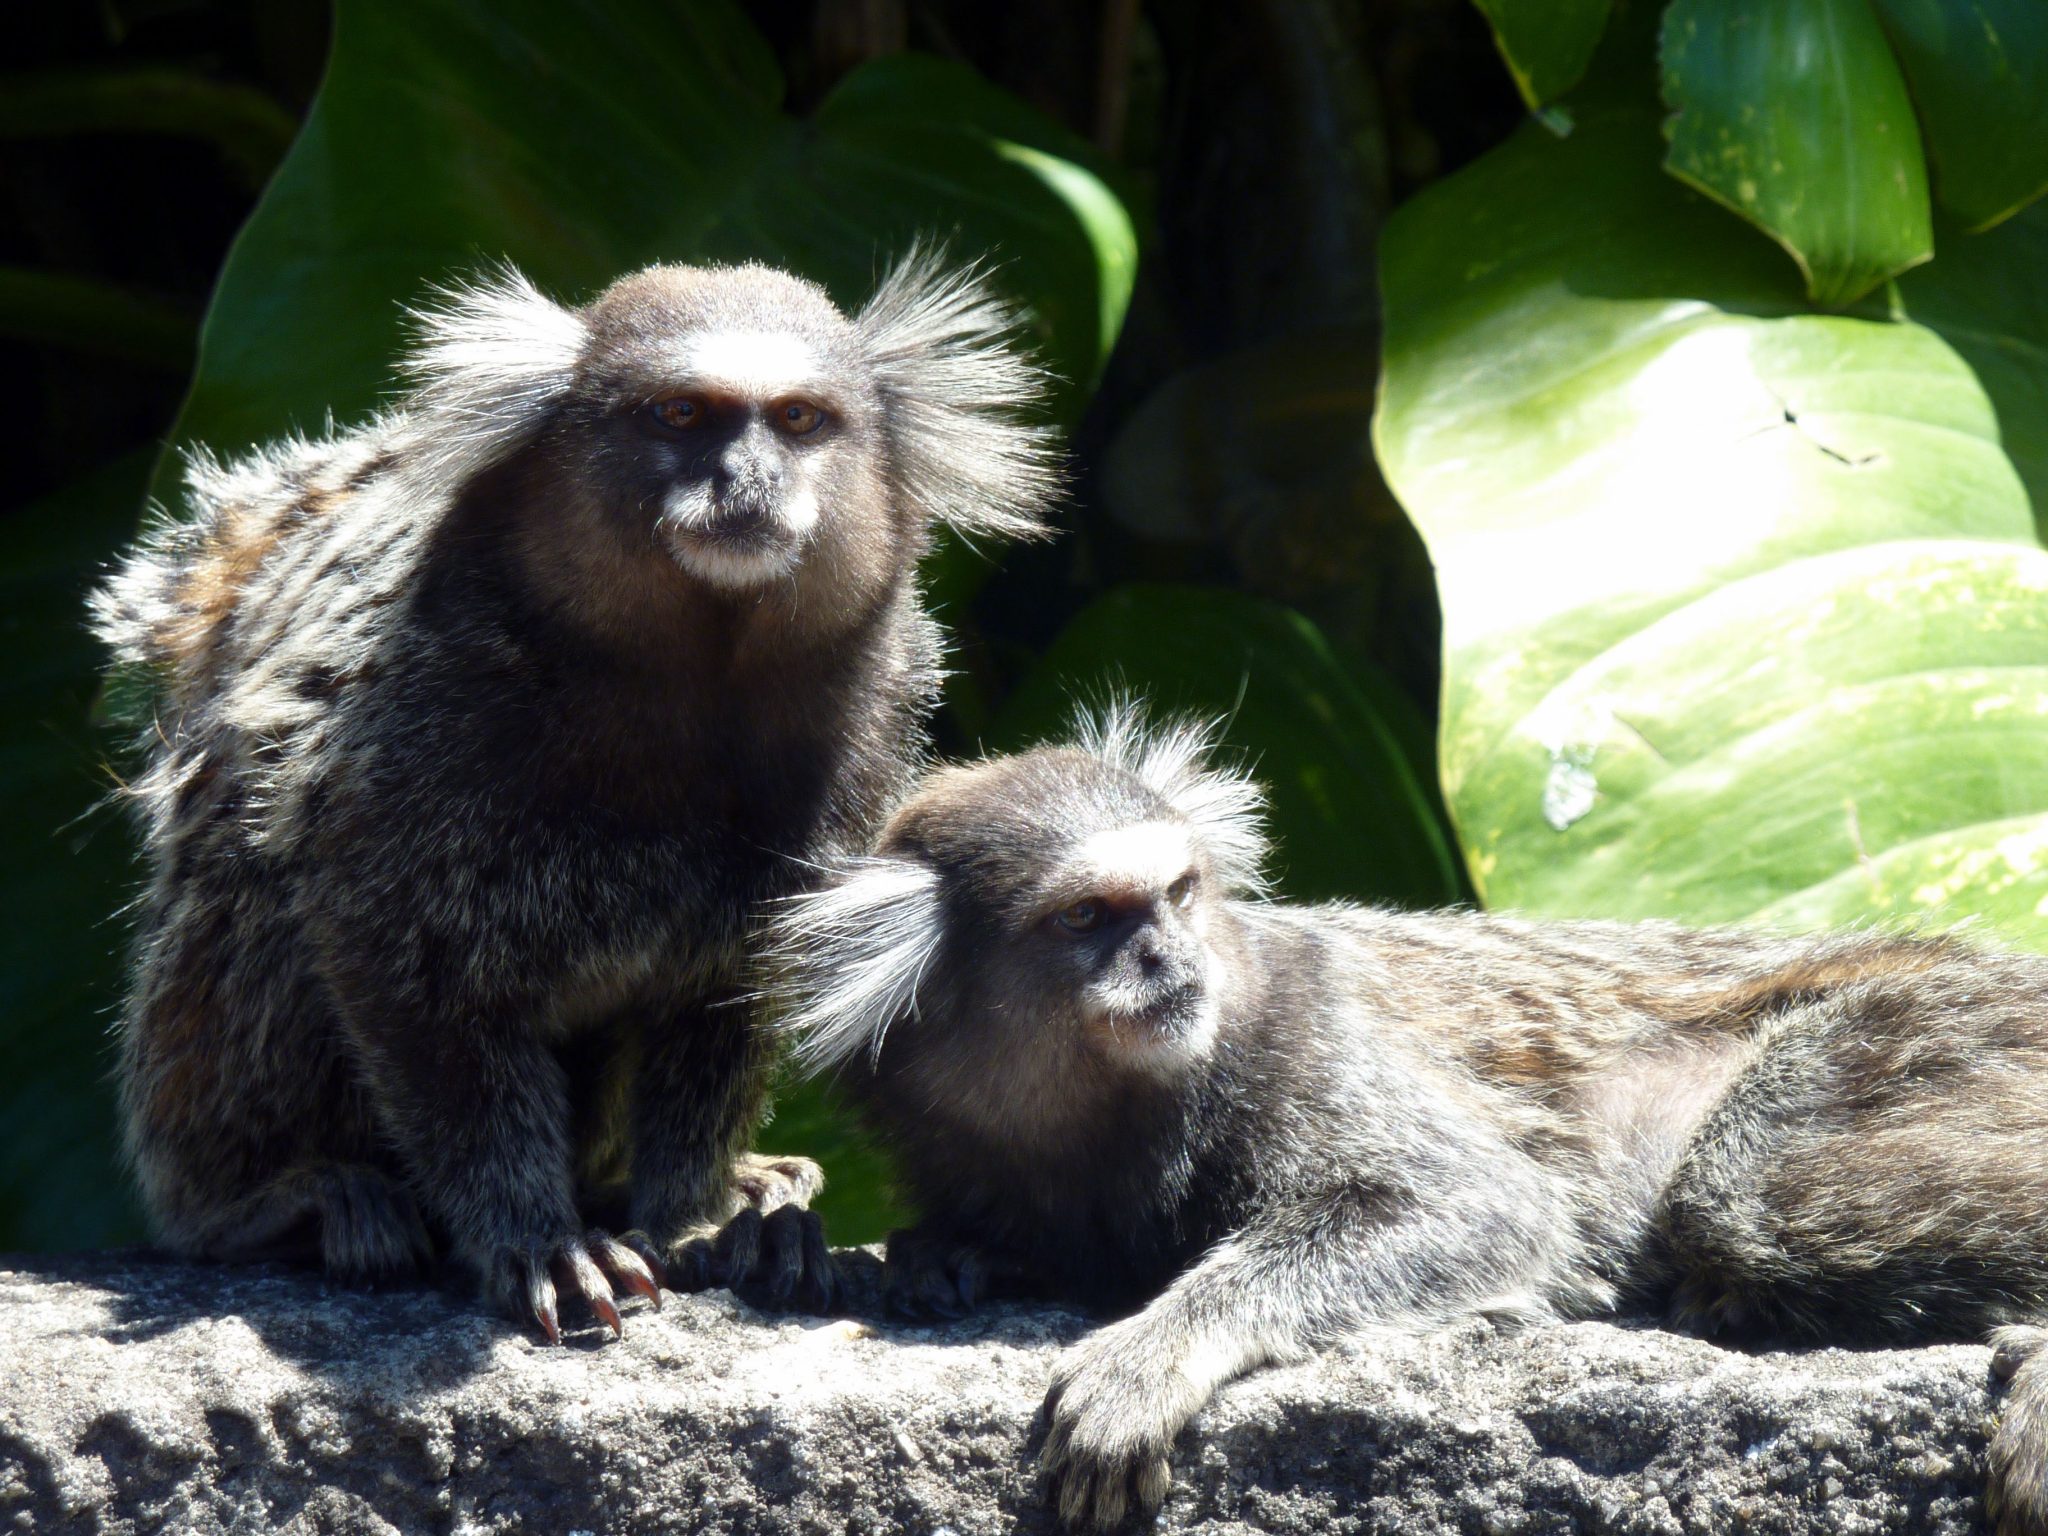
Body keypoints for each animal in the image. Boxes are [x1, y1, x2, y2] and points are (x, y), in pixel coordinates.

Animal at [89, 249, 1058, 1343]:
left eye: (800, 421)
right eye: (681, 416)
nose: (747, 480)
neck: (691, 683)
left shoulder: (870, 716)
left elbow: (734, 987)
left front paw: (692, 1216)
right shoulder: (424, 708)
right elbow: (402, 972)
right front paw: (538, 1240)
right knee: (246, 879)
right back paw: (277, 1204)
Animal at [758, 704, 2048, 1532]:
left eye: (1175, 894)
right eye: (1087, 918)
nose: (1168, 959)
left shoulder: (1304, 1035)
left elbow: (1479, 1207)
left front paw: (1155, 1350)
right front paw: (947, 1257)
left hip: (1942, 1025)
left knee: (1745, 1200)